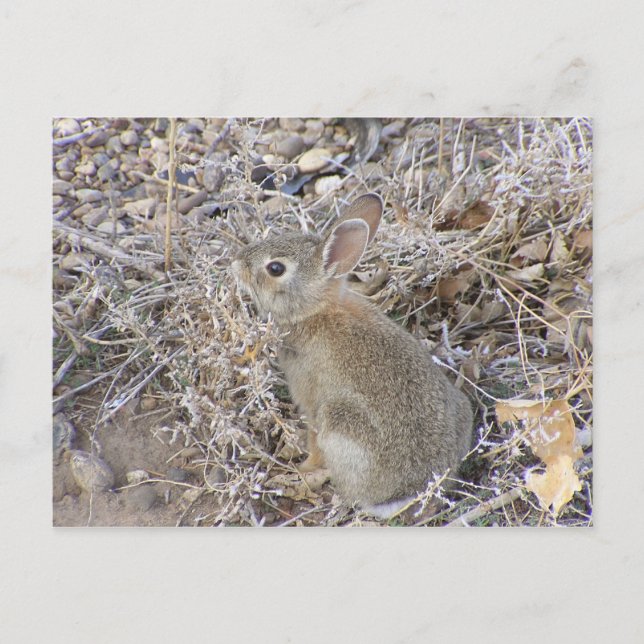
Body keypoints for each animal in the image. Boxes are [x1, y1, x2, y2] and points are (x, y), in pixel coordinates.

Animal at [231, 193, 473, 518]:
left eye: (276, 269)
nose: (236, 263)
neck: (314, 310)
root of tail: (419, 488)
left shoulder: (311, 403)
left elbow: (313, 440)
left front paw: (302, 467)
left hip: (340, 423)